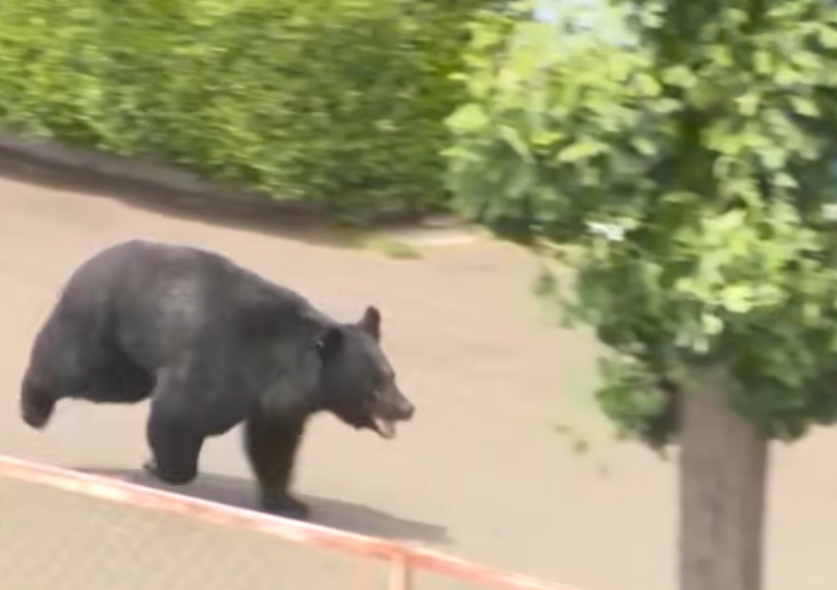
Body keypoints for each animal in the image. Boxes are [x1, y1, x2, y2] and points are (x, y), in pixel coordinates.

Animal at [19, 239, 415, 520]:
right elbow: (180, 414)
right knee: (80, 371)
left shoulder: (275, 405)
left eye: (392, 375)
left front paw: (288, 502)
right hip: (106, 330)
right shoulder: (222, 363)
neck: (281, 368)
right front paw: (164, 467)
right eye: (375, 386)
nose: (407, 407)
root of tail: (89, 263)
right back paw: (33, 408)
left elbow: (273, 446)